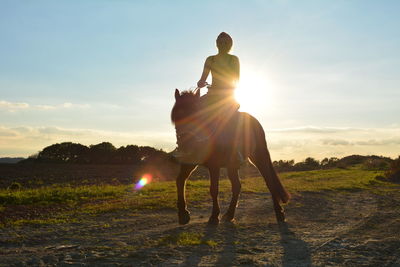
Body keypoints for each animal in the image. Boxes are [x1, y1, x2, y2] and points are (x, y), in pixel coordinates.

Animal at [172, 89, 290, 225]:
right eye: (177, 114)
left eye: (197, 112)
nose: (186, 140)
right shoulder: (190, 162)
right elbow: (180, 181)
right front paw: (183, 214)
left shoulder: (214, 165)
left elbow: (214, 189)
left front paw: (214, 216)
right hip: (232, 165)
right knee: (237, 186)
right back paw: (229, 214)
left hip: (259, 156)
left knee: (269, 181)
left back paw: (279, 213)